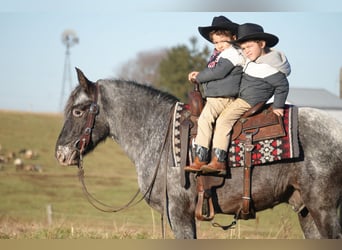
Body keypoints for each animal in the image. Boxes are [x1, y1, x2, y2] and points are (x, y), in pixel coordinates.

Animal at [55, 68, 342, 238]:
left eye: (77, 111)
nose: (61, 154)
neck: (157, 132)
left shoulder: (180, 213)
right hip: (305, 211)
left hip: (324, 209)